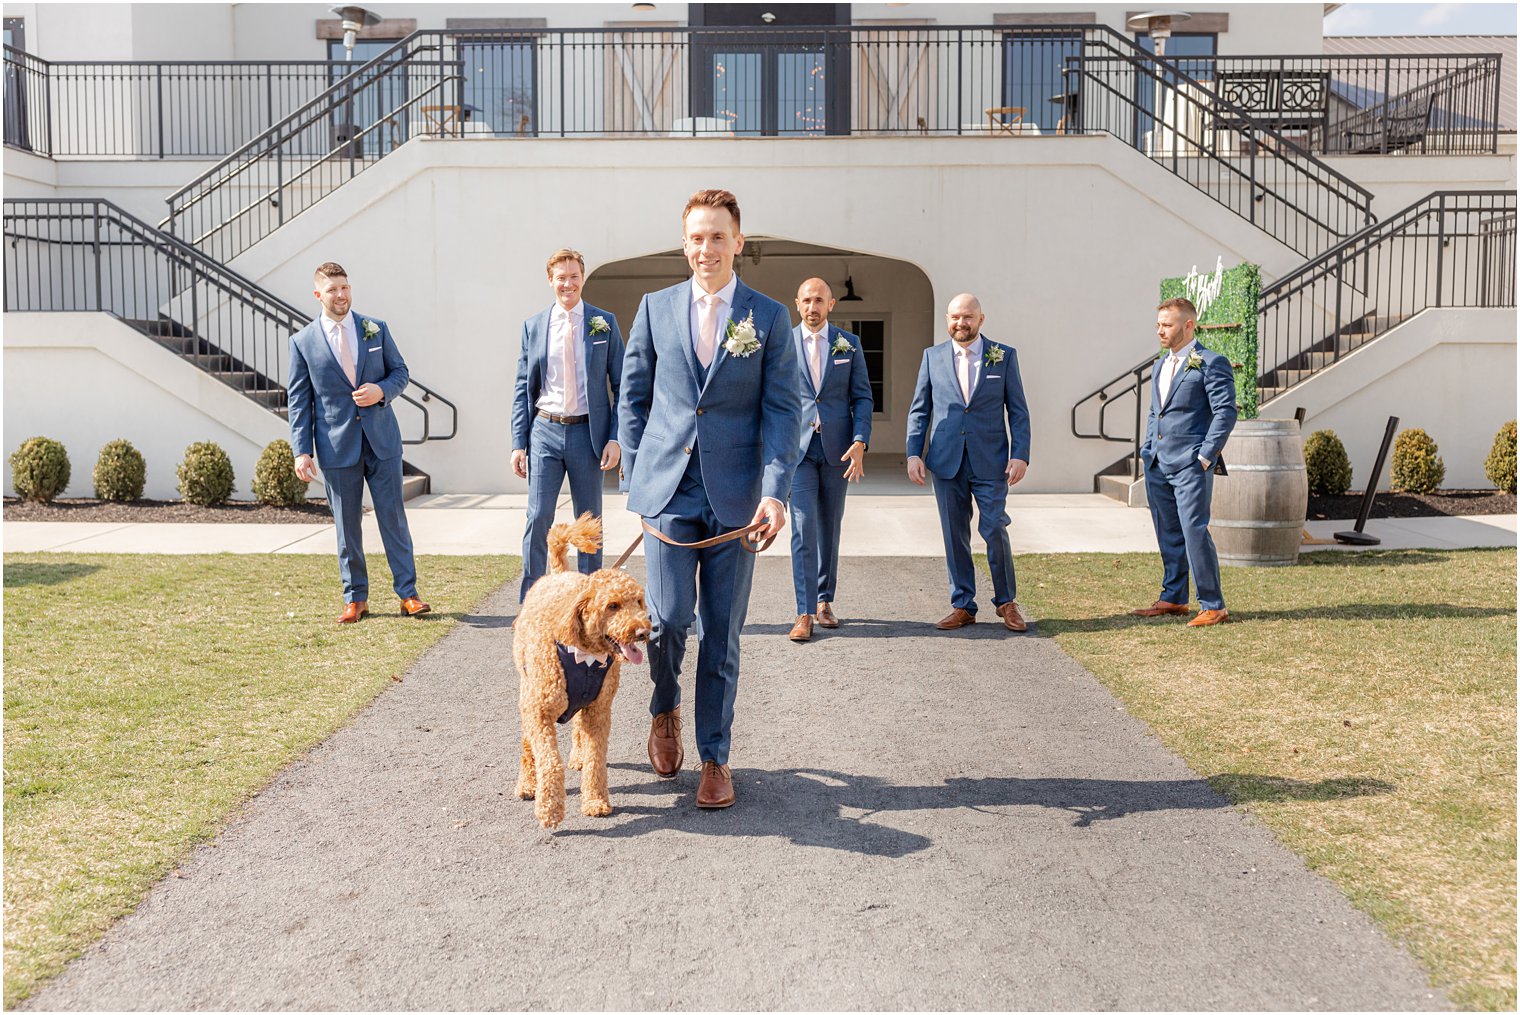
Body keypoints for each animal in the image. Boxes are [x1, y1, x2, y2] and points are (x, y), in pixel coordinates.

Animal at [513, 510, 650, 826]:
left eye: (638, 601)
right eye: (613, 605)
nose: (643, 632)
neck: (585, 656)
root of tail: (558, 575)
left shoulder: (599, 710)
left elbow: (596, 760)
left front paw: (596, 800)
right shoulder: (539, 711)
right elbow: (550, 761)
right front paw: (549, 807)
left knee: (577, 728)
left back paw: (577, 756)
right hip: (528, 694)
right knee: (527, 745)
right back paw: (527, 783)